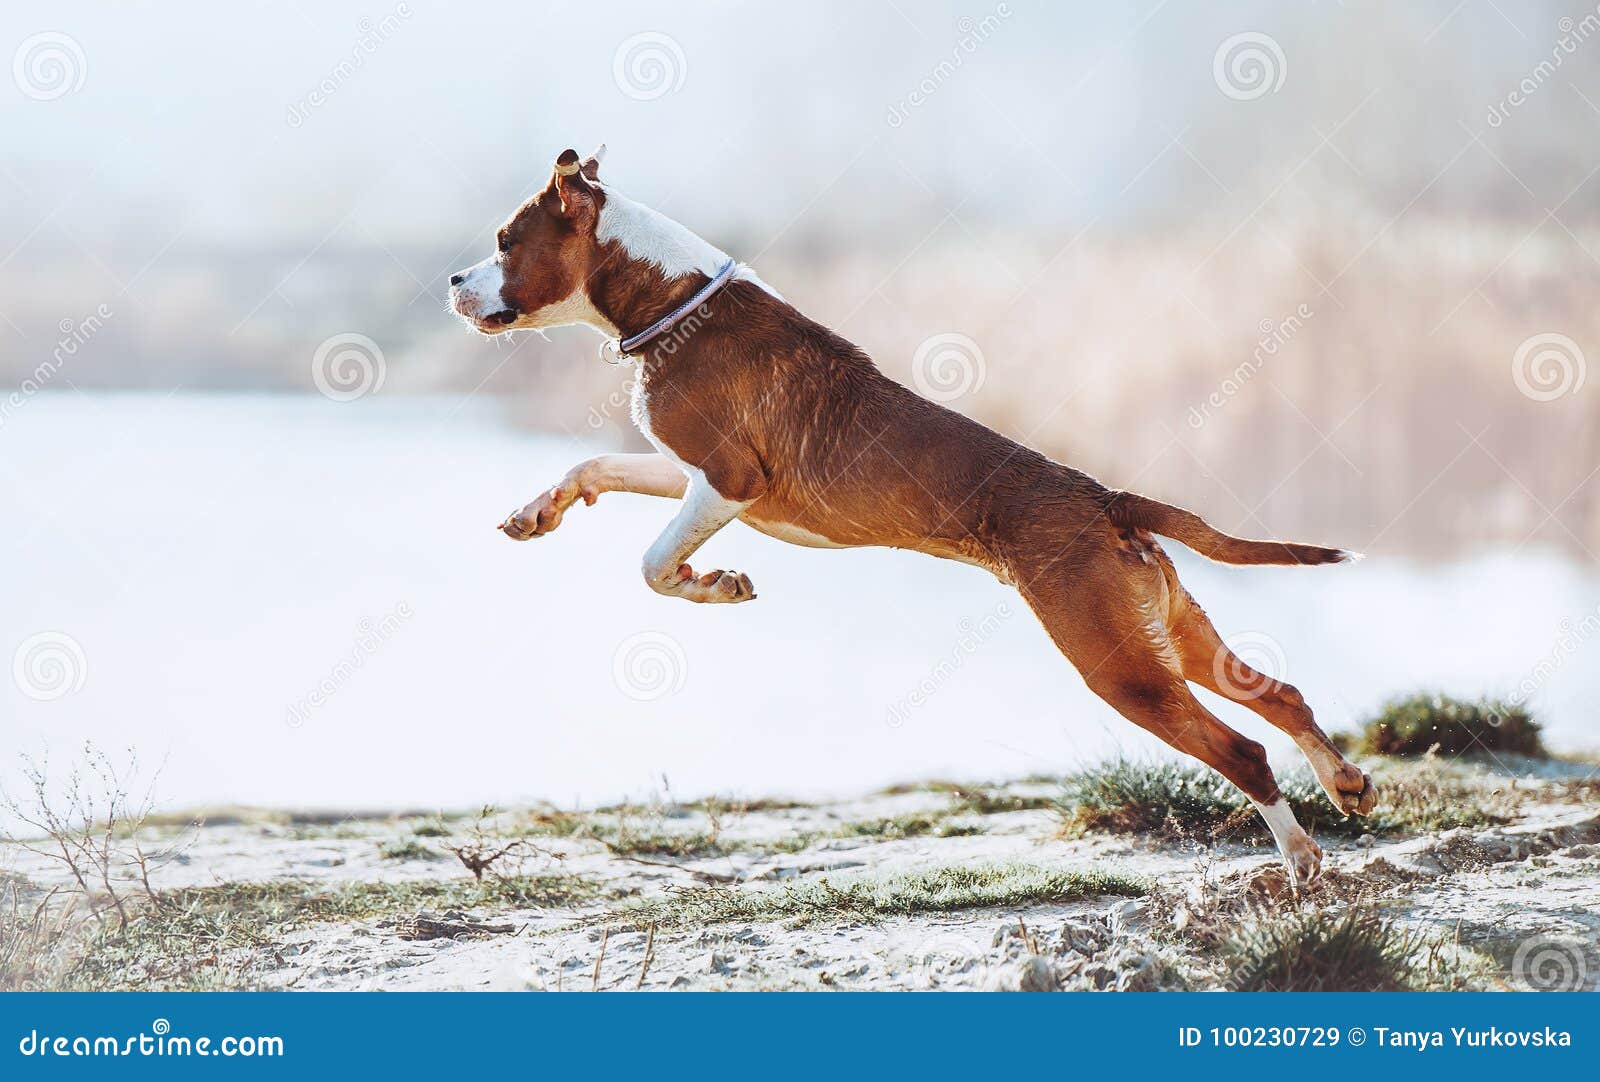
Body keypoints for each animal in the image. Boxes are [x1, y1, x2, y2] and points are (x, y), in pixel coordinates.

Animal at [451, 145, 1376, 889]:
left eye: (504, 242)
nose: (452, 282)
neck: (668, 296)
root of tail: (1107, 499)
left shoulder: (727, 481)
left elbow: (650, 565)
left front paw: (711, 582)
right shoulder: (688, 473)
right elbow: (595, 467)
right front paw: (539, 511)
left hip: (1118, 664)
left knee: (1241, 748)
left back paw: (1300, 859)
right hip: (1169, 630)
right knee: (1280, 694)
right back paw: (1346, 784)